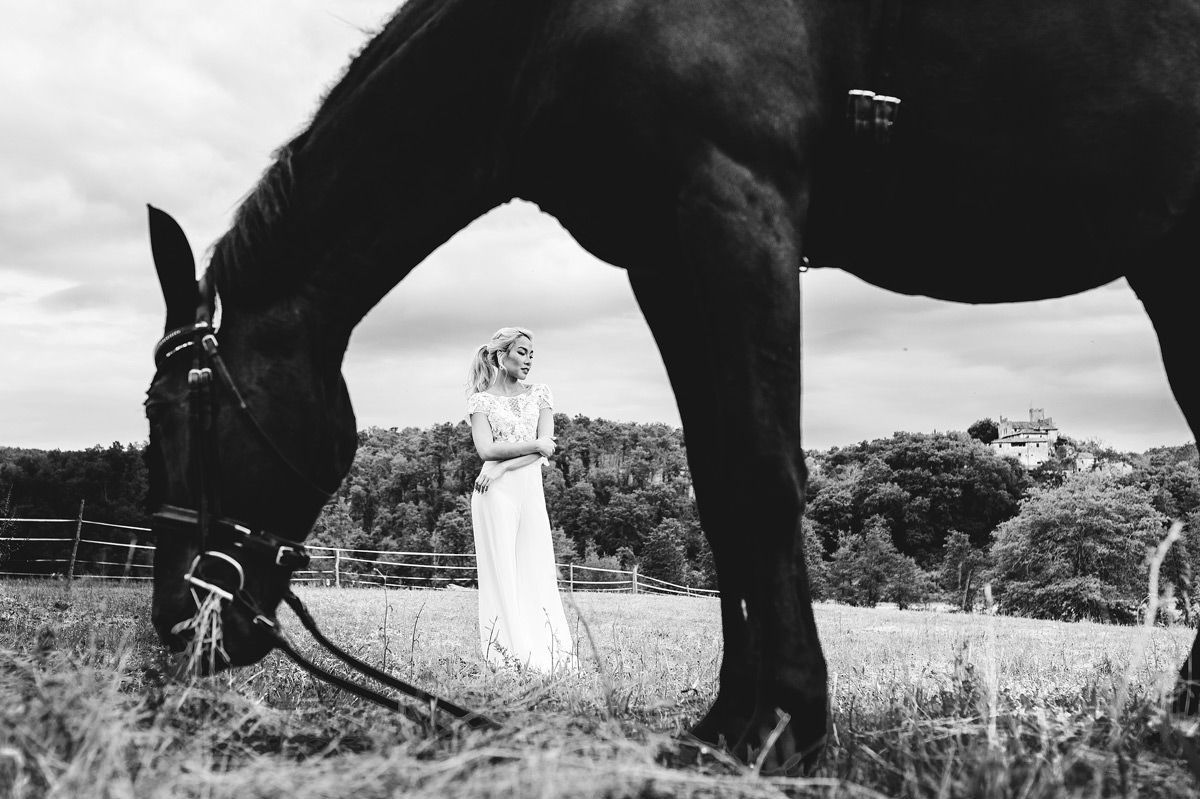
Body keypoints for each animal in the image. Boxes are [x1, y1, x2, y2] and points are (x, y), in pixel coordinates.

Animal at [145, 0, 1200, 772]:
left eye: (173, 410)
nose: (176, 620)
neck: (549, 31)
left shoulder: (735, 209)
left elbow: (758, 473)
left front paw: (785, 725)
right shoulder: (665, 250)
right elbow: (717, 483)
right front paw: (732, 720)